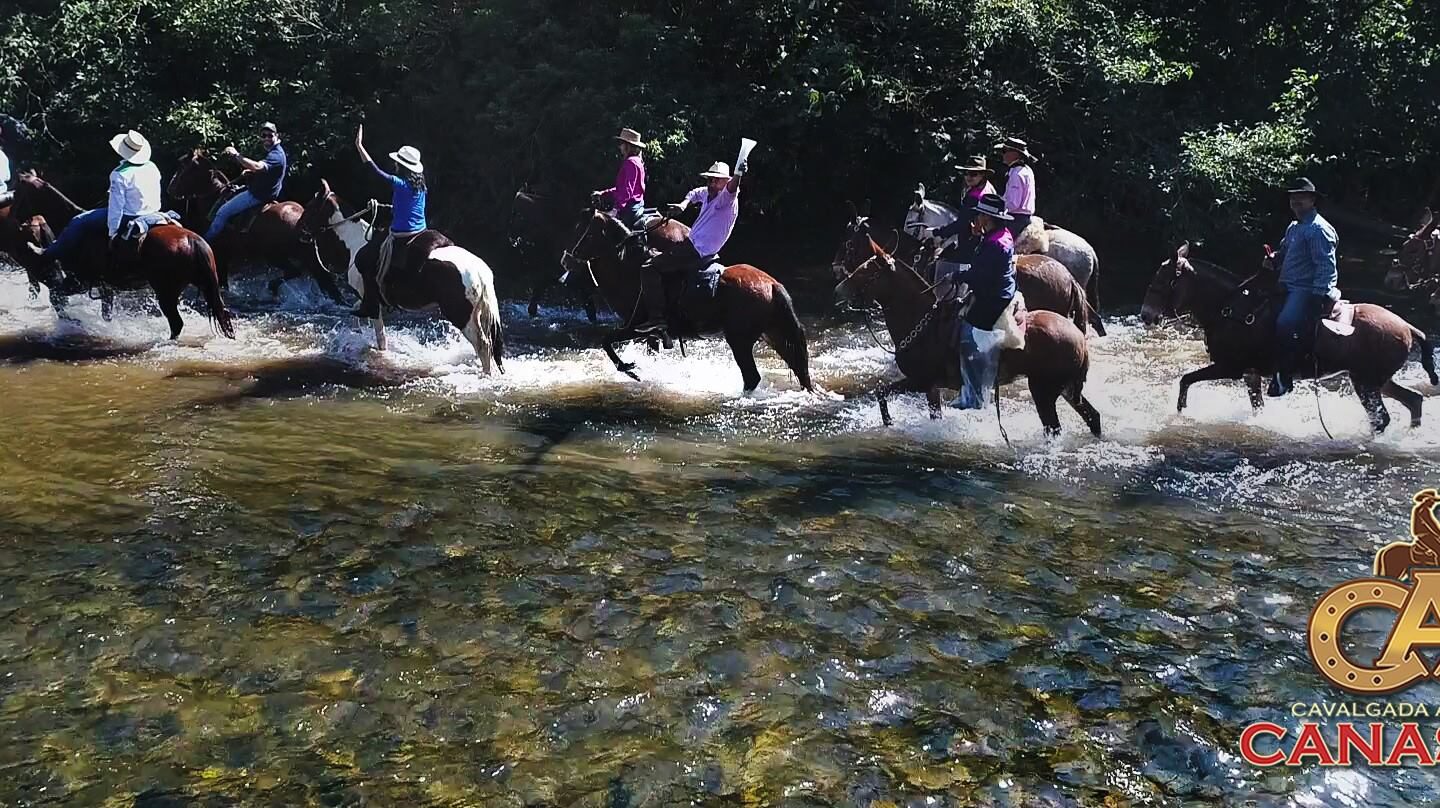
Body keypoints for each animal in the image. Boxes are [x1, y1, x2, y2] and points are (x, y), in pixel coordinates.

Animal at [8, 171, 233, 338]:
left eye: (17, 194)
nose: (13, 220)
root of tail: (193, 240)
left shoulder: (80, 281)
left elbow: (56, 297)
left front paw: (74, 323)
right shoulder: (105, 288)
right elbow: (104, 313)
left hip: (166, 292)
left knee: (176, 324)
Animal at [167, 148, 345, 302]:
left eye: (183, 168)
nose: (170, 189)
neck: (214, 197)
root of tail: (301, 223)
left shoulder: (221, 253)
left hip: (275, 255)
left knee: (295, 271)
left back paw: (272, 287)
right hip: (306, 256)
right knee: (322, 278)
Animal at [558, 205, 817, 391]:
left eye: (585, 232)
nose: (566, 260)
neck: (629, 268)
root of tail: (772, 285)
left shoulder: (635, 326)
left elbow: (606, 340)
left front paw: (629, 368)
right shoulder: (650, 334)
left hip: (740, 340)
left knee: (752, 377)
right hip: (774, 335)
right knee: (798, 370)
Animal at [829, 213, 1094, 434]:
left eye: (866, 272)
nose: (837, 286)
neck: (923, 323)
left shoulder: (919, 381)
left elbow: (881, 392)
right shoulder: (930, 388)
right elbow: (894, 398)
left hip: (1044, 391)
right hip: (1066, 389)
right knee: (1092, 417)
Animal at [1140, 241, 1434, 432]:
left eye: (1163, 280)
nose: (1145, 315)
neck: (1229, 309)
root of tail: (1408, 327)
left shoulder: (1229, 367)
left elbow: (1186, 380)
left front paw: (1181, 411)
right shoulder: (1250, 374)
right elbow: (1256, 406)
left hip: (1366, 382)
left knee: (1381, 418)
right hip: (1377, 380)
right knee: (1414, 401)